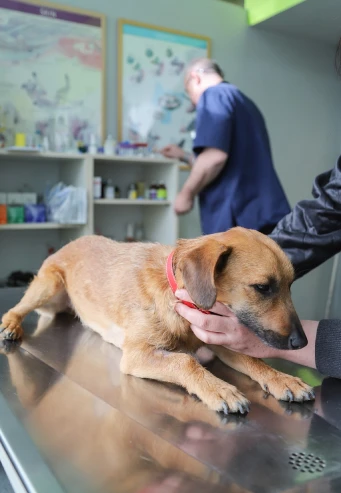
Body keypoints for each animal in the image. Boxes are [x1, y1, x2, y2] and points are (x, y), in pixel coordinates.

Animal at [0, 227, 314, 412]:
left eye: (290, 285)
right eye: (262, 287)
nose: (302, 342)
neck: (179, 297)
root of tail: (72, 241)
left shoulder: (217, 337)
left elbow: (253, 360)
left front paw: (282, 379)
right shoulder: (137, 355)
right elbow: (186, 361)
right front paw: (219, 389)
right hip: (49, 285)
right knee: (15, 308)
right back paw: (11, 326)